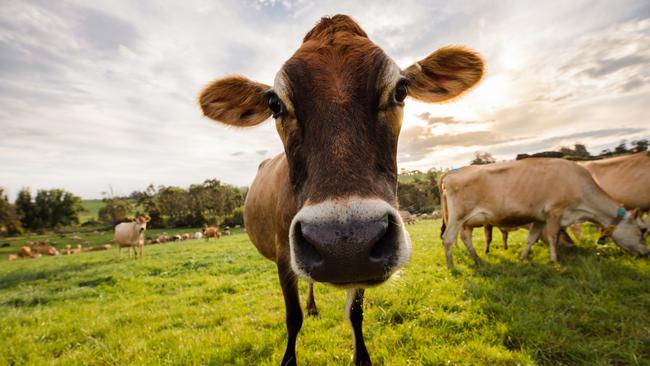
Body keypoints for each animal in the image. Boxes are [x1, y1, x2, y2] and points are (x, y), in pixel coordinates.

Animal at [197, 13, 480, 364]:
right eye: (274, 103)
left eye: (401, 89)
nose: (344, 242)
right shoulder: (282, 256)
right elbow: (292, 317)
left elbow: (356, 313)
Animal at [438, 157, 644, 266]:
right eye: (643, 230)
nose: (646, 253)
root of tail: (452, 172)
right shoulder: (555, 212)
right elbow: (552, 237)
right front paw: (555, 260)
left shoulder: (540, 218)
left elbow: (532, 238)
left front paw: (523, 257)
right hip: (457, 218)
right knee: (448, 239)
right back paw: (451, 265)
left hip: (467, 221)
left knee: (465, 238)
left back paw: (477, 259)